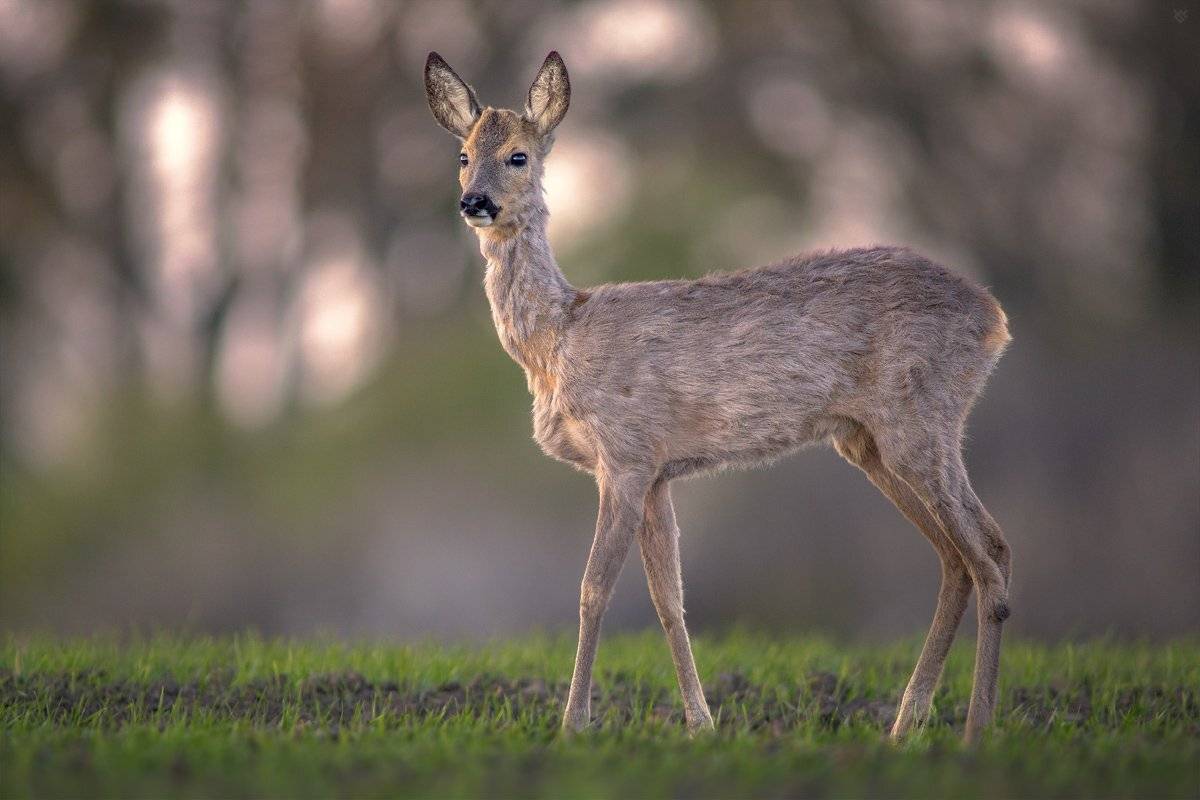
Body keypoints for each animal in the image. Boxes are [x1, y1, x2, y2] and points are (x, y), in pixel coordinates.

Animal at [424, 51, 1013, 744]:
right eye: (463, 153)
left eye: (518, 155)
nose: (475, 202)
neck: (556, 341)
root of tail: (995, 319)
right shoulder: (656, 473)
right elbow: (669, 599)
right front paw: (700, 722)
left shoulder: (624, 456)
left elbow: (594, 589)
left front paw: (574, 724)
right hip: (868, 440)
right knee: (958, 556)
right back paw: (905, 724)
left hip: (920, 418)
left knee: (988, 553)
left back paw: (975, 730)